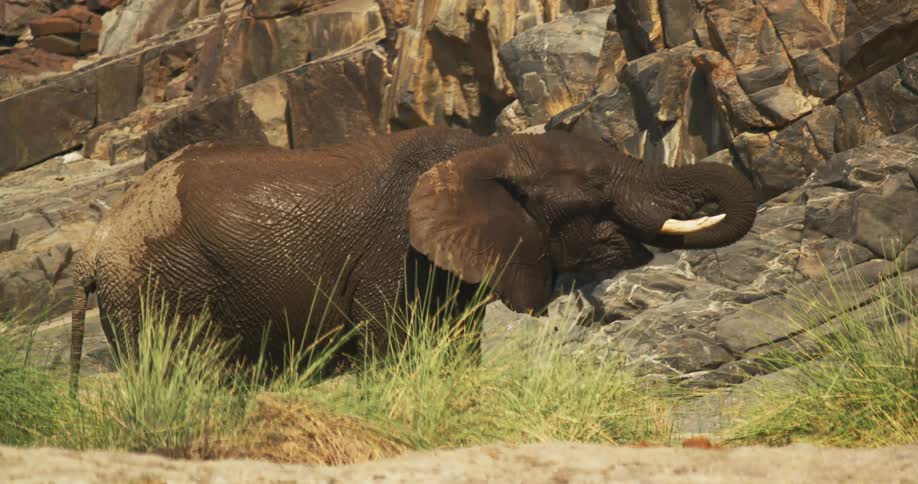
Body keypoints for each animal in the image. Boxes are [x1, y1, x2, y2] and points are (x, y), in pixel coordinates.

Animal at [69, 126, 757, 391]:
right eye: (594, 182)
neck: (487, 151)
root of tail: (96, 245)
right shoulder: (390, 256)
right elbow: (393, 348)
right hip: (158, 290)